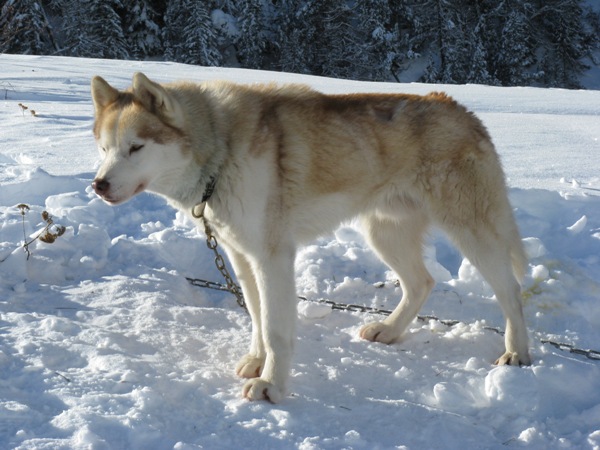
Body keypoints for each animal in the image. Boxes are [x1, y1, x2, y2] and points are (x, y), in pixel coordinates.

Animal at [90, 74, 528, 404]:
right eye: (104, 148)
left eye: (136, 147)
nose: (98, 184)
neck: (221, 152)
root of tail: (461, 108)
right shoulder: (242, 258)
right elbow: (257, 317)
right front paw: (256, 360)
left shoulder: (273, 259)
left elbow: (275, 329)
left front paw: (271, 385)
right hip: (384, 233)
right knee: (422, 282)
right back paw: (390, 330)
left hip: (471, 233)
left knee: (511, 291)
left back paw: (518, 352)